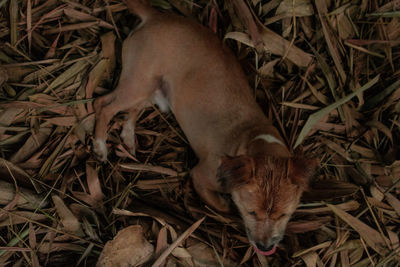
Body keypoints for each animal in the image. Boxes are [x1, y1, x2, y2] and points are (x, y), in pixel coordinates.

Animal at [94, 0, 316, 255]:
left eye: (284, 215)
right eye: (251, 212)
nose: (265, 246)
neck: (252, 139)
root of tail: (156, 15)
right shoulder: (200, 175)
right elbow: (218, 203)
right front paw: (224, 205)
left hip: (152, 89)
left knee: (130, 111)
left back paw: (128, 138)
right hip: (138, 83)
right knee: (103, 104)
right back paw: (100, 147)